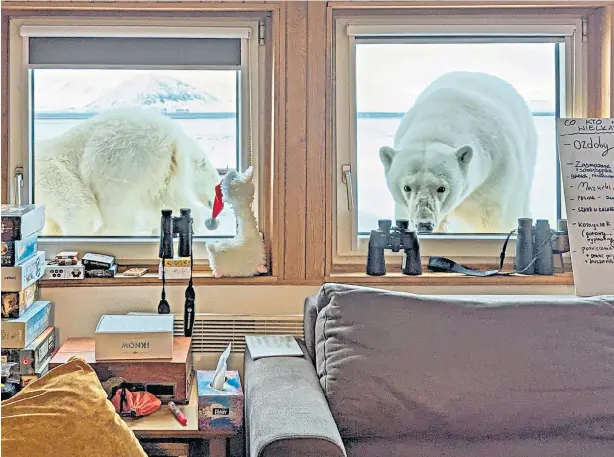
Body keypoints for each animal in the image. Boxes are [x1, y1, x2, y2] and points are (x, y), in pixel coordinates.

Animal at [33, 107, 221, 235]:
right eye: (216, 186)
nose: (215, 216)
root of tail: (171, 140)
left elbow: (77, 209)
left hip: (119, 161)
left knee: (114, 206)